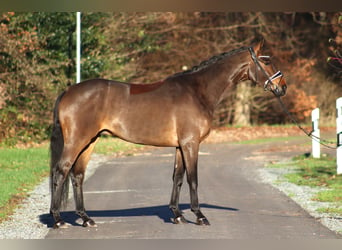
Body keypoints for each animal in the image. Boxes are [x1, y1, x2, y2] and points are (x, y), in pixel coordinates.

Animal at [50, 41, 286, 229]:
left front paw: (177, 215)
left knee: (77, 175)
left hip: (89, 142)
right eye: (266, 62)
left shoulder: (180, 145)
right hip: (77, 141)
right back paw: (58, 220)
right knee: (61, 171)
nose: (283, 87)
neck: (197, 91)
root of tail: (68, 91)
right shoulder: (191, 143)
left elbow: (178, 177)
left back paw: (86, 218)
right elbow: (192, 178)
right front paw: (199, 216)